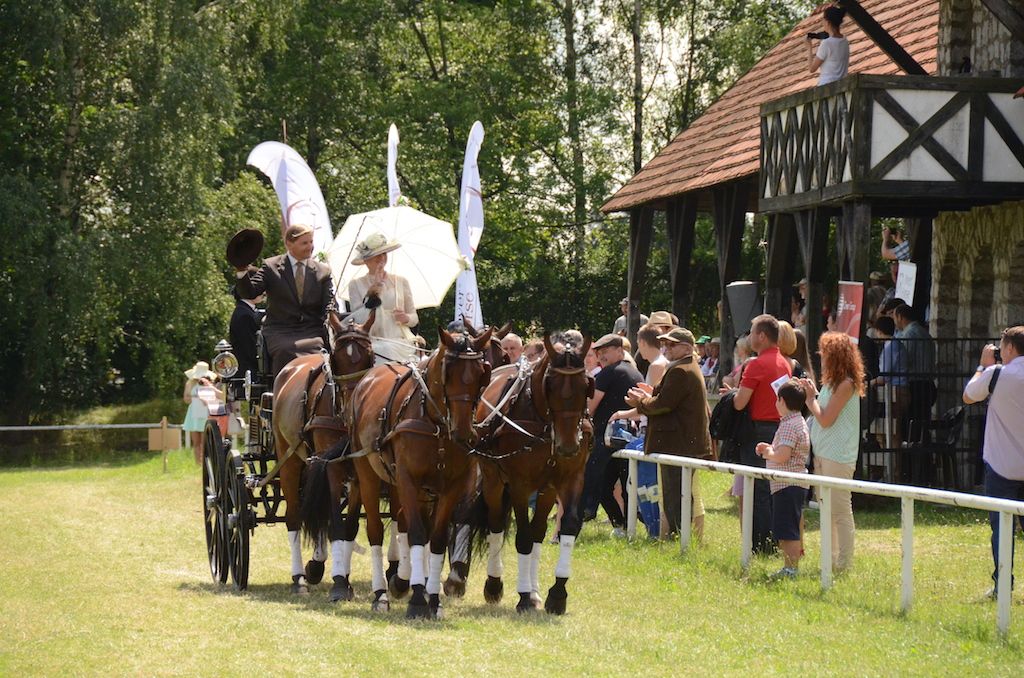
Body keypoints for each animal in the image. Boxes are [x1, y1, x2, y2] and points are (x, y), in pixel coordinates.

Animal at [272, 311, 376, 594]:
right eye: (336, 358)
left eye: (369, 355)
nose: (354, 405)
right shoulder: (331, 466)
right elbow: (334, 523)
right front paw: (339, 582)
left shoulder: (357, 469)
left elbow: (349, 526)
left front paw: (343, 577)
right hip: (288, 460)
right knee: (294, 517)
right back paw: (299, 578)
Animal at [350, 327, 493, 618]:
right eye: (447, 372)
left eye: (482, 373)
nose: (464, 432)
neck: (435, 423)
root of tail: (367, 378)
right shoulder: (408, 480)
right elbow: (417, 534)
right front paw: (417, 599)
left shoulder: (450, 487)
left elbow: (435, 539)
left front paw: (433, 600)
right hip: (369, 474)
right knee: (375, 530)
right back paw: (381, 593)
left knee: (401, 521)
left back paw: (401, 581)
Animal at [462, 333, 598, 614]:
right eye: (550, 385)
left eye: (585, 386)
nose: (568, 446)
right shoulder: (519, 485)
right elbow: (523, 537)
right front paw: (523, 596)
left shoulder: (570, 479)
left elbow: (566, 526)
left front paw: (556, 594)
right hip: (493, 480)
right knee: (495, 525)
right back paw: (495, 585)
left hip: (546, 490)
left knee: (538, 532)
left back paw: (535, 591)